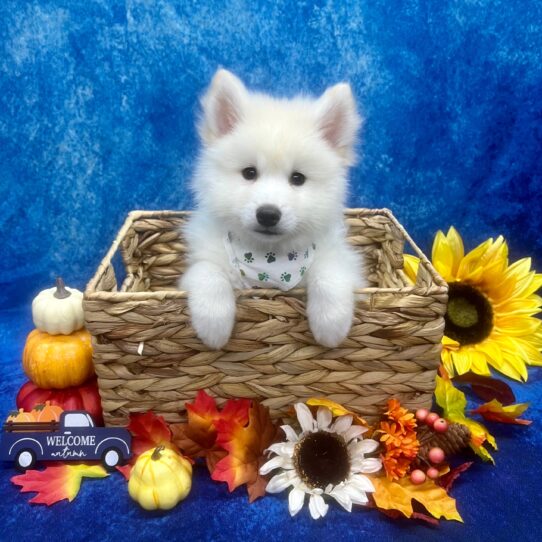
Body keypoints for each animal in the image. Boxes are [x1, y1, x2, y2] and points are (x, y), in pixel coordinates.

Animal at [182, 70, 366, 350]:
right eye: (249, 173)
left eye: (298, 178)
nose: (268, 214)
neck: (268, 260)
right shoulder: (201, 261)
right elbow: (208, 273)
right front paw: (214, 326)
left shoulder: (340, 258)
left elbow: (330, 274)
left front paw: (330, 325)